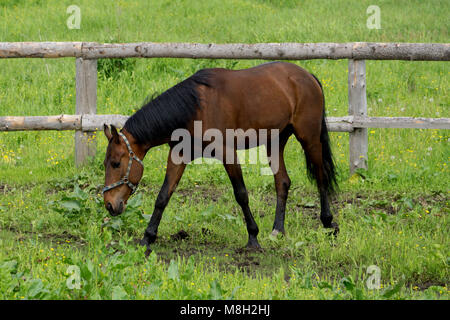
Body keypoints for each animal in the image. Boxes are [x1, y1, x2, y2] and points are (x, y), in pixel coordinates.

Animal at [102, 61, 338, 254]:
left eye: (116, 163)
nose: (109, 205)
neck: (195, 108)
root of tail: (307, 76)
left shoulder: (228, 154)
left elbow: (241, 194)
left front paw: (253, 237)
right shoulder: (178, 155)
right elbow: (163, 197)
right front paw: (147, 238)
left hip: (309, 138)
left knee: (321, 177)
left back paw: (328, 223)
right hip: (275, 142)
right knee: (282, 182)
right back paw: (277, 230)